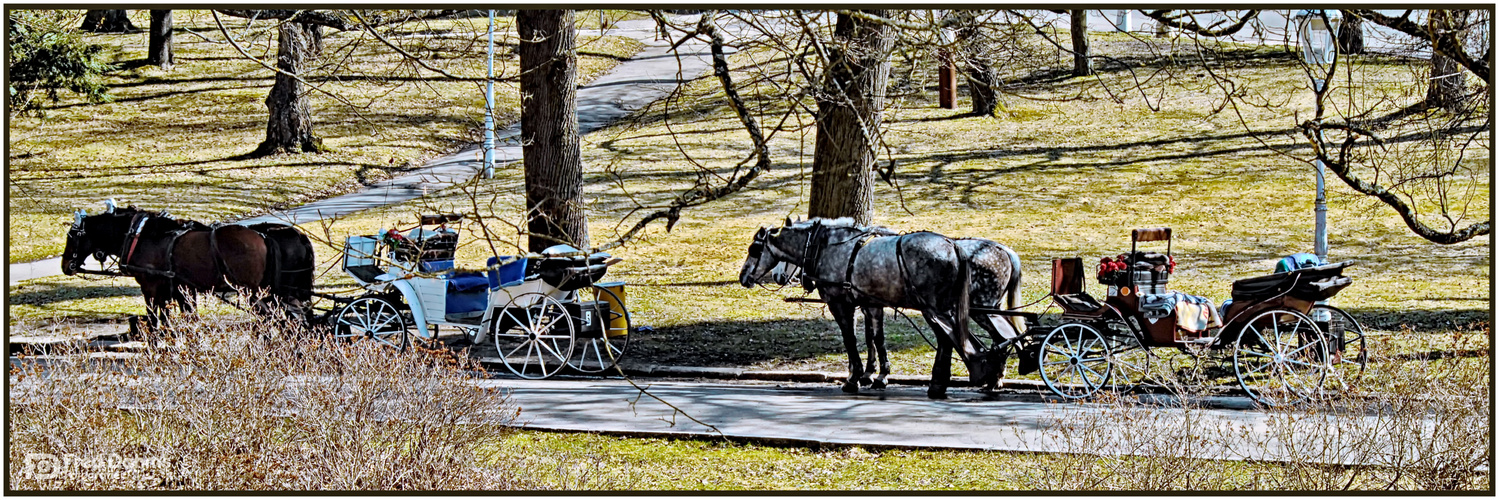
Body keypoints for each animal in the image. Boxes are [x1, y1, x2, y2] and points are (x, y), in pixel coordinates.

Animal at [59, 203, 314, 332]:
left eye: (72, 236)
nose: (65, 265)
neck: (143, 236)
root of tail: (264, 236)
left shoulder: (151, 288)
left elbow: (155, 319)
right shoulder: (180, 290)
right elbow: (184, 318)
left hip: (254, 293)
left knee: (275, 319)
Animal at [737, 217, 1019, 398]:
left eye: (754, 249)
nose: (744, 277)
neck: (828, 248)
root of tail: (954, 247)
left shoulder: (841, 304)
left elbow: (852, 340)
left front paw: (856, 378)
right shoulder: (871, 303)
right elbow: (875, 337)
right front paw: (875, 375)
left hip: (957, 308)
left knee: (964, 338)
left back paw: (970, 381)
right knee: (985, 338)